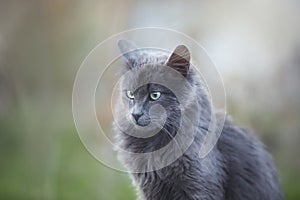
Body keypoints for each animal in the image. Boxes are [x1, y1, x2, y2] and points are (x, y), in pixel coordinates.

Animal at [113, 39, 284, 200]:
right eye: (130, 94)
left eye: (155, 95)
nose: (135, 114)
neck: (153, 145)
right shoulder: (149, 189)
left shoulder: (199, 187)